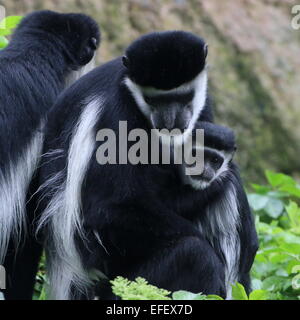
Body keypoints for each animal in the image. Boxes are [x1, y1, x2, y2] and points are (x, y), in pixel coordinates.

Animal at [38, 30, 255, 300]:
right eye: (153, 100)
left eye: (184, 97)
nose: (170, 121)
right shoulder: (114, 114)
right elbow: (108, 210)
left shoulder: (203, 104)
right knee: (194, 255)